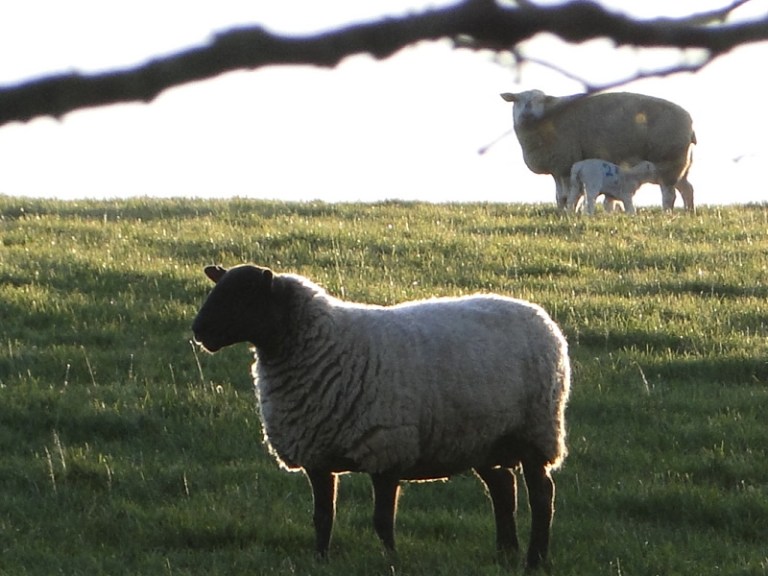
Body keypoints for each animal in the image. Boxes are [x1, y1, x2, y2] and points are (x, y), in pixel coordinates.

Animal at [192, 264, 571, 570]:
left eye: (242, 296)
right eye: (217, 289)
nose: (198, 331)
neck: (321, 344)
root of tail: (541, 315)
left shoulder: (386, 448)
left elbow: (382, 520)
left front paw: (390, 559)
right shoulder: (317, 453)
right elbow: (322, 517)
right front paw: (320, 559)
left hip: (535, 429)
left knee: (542, 495)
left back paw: (534, 559)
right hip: (483, 437)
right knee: (503, 490)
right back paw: (505, 553)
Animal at [500, 89, 696, 211]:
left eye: (541, 100)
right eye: (517, 100)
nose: (527, 115)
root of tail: (690, 122)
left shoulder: (565, 164)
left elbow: (567, 195)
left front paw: (569, 212)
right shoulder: (557, 168)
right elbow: (559, 196)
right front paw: (562, 212)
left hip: (668, 160)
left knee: (669, 195)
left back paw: (667, 214)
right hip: (680, 164)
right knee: (687, 189)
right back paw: (689, 213)